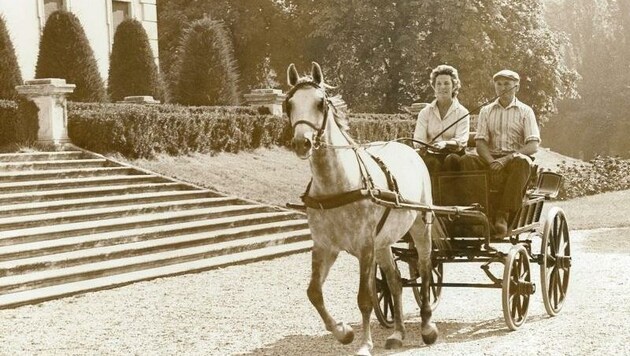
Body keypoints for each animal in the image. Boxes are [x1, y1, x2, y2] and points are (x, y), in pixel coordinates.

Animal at [286, 62, 440, 354]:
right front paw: (343, 332)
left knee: (426, 269)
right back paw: (398, 333)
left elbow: (365, 298)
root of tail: (408, 148)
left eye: (320, 103)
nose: (302, 143)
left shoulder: (365, 246)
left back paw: (427, 325)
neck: (337, 185)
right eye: (288, 104)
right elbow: (314, 292)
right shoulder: (325, 246)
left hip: (419, 226)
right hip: (384, 242)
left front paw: (365, 343)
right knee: (394, 282)